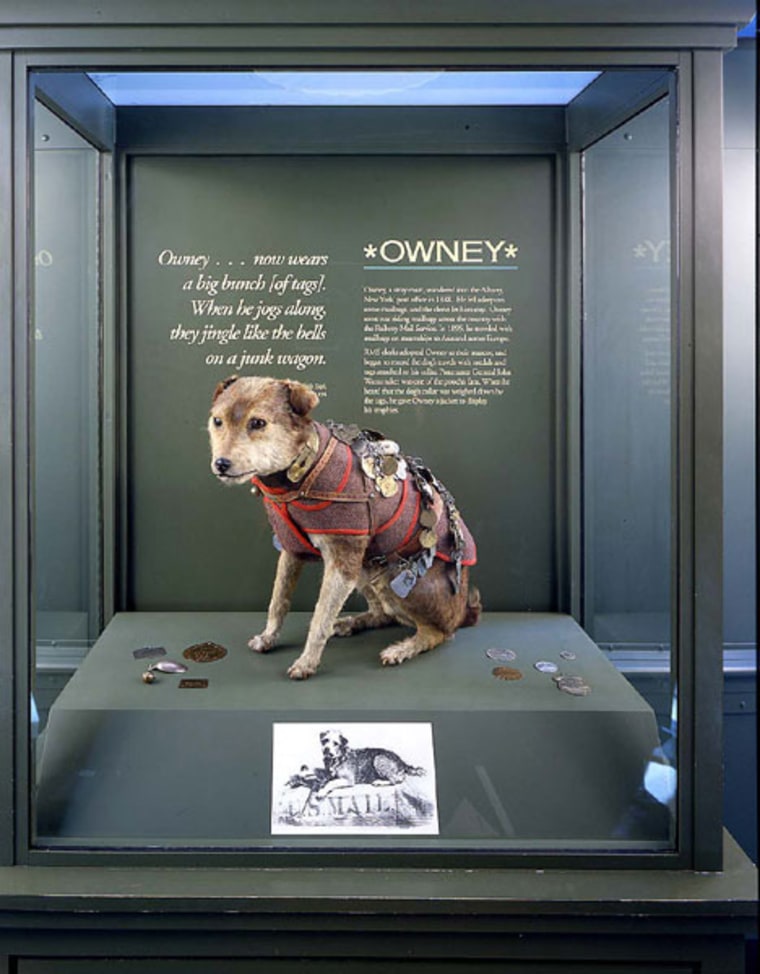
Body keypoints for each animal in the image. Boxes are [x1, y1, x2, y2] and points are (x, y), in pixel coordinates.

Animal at [209, 374, 480, 680]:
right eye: (217, 421)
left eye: (257, 423)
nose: (221, 463)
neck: (303, 468)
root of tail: (465, 612)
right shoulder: (291, 551)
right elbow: (278, 600)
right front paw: (268, 637)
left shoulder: (342, 564)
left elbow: (319, 617)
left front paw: (307, 662)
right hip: (367, 569)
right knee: (384, 614)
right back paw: (352, 623)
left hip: (396, 579)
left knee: (439, 633)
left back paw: (402, 648)